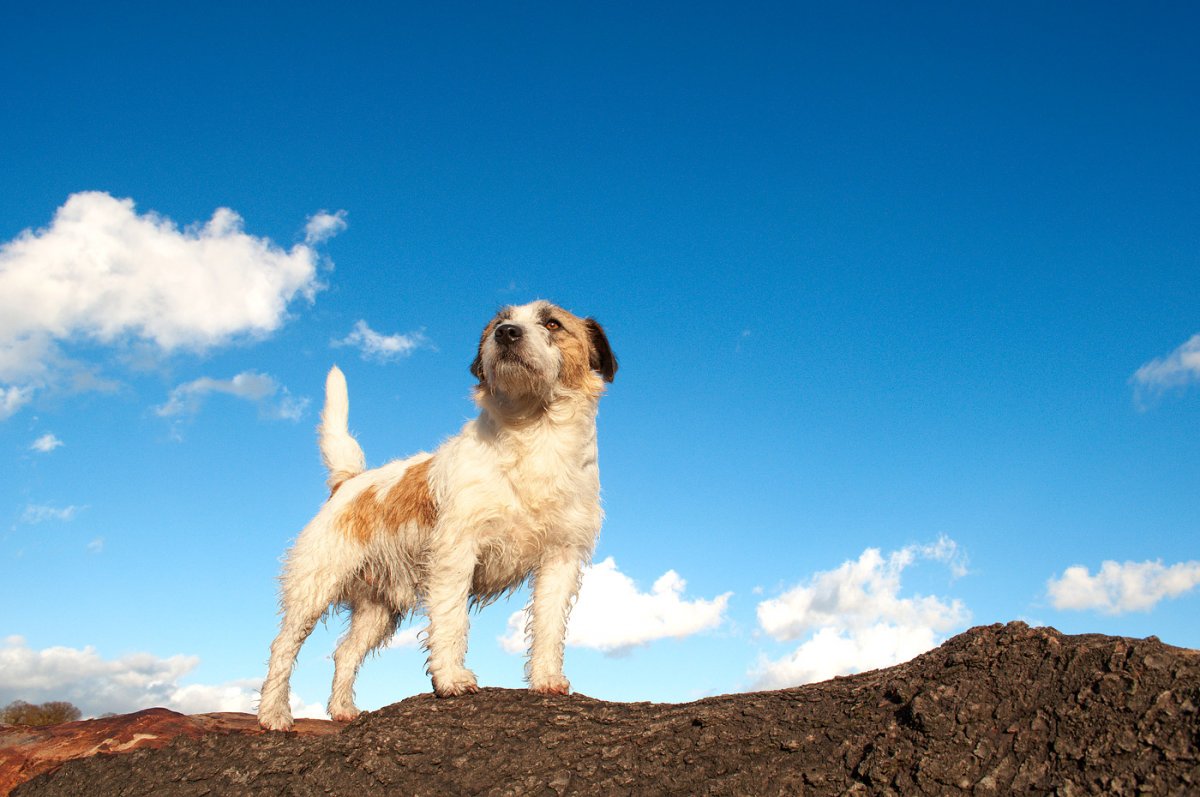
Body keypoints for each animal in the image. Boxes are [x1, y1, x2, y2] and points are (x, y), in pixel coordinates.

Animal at [260, 298, 619, 729]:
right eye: (499, 323)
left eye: (552, 323)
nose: (507, 333)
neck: (533, 433)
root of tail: (348, 482)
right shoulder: (456, 552)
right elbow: (450, 619)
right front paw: (451, 679)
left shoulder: (560, 558)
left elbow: (549, 626)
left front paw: (546, 679)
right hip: (313, 586)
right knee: (283, 647)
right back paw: (273, 714)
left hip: (379, 608)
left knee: (345, 652)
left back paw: (343, 710)